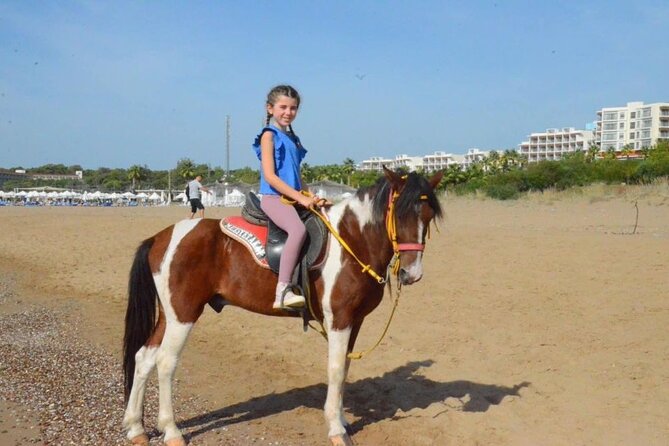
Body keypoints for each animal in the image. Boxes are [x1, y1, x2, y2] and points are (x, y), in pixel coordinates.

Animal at [122, 167, 443, 446]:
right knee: (166, 362)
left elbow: (345, 369)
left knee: (144, 357)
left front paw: (341, 419)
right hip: (184, 314)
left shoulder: (355, 321)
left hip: (169, 314)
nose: (411, 273)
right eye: (398, 214)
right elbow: (336, 369)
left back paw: (136, 427)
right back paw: (172, 430)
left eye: (428, 217)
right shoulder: (339, 319)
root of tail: (160, 238)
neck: (352, 239)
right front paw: (336, 429)